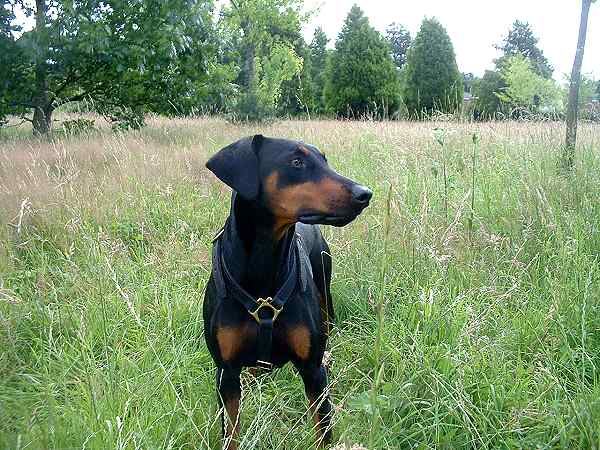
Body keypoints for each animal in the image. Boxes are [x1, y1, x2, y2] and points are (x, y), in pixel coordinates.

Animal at [204, 135, 372, 448]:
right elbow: (230, 432)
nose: (365, 194)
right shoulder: (226, 374)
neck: (263, 264)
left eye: (324, 160)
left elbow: (323, 431)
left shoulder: (312, 371)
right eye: (296, 162)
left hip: (325, 291)